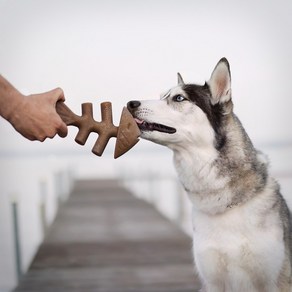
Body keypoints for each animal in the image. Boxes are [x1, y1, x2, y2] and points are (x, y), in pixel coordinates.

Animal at [127, 58, 292, 290]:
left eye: (179, 98)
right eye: (161, 96)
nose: (130, 104)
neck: (225, 204)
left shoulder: (274, 281)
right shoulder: (212, 280)